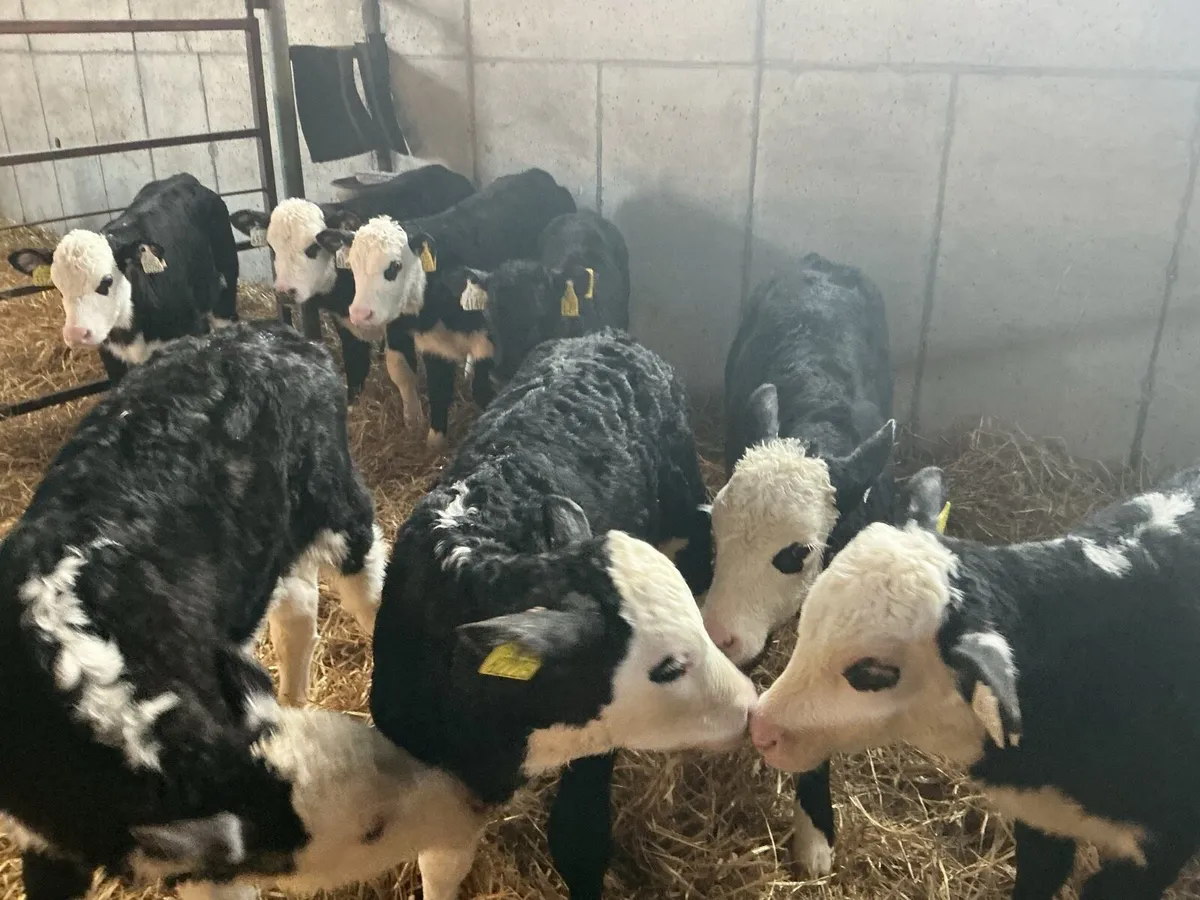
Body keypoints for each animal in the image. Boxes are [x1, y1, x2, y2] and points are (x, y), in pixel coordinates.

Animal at [8, 173, 239, 385]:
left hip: (225, 293)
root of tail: (183, 177)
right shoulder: (112, 358)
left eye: (107, 281)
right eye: (58, 286)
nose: (76, 334)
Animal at [228, 163, 475, 409]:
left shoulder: (399, 321)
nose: (284, 292)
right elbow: (354, 364)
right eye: (271, 247)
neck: (344, 289)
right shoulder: (344, 322)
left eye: (313, 247)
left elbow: (400, 370)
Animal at [370, 329, 757, 900]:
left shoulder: (596, 748)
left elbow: (579, 840)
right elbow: (440, 865)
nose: (750, 707)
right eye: (667, 668)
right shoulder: (440, 772)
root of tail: (606, 337)